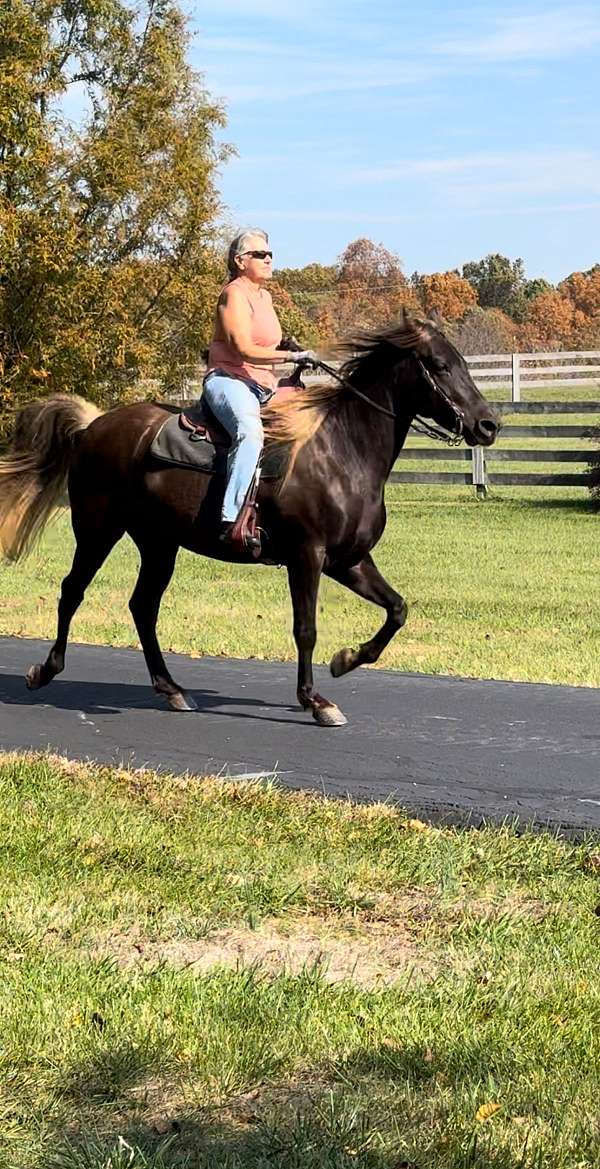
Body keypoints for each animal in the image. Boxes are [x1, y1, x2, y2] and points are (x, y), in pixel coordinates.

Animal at [0, 315, 500, 724]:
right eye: (439, 365)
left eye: (461, 361)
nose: (488, 425)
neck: (342, 451)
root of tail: (94, 426)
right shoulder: (307, 556)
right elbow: (305, 628)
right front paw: (315, 700)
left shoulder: (349, 560)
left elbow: (397, 609)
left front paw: (346, 660)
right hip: (97, 530)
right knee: (72, 591)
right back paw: (44, 671)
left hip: (159, 545)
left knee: (143, 606)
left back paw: (171, 689)